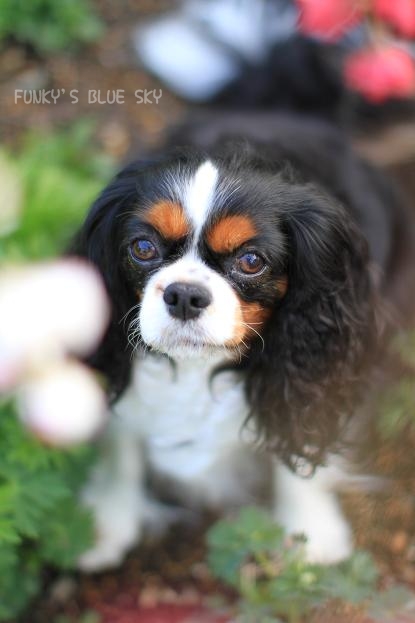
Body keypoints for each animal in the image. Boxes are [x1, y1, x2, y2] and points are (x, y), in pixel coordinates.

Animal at [72, 114, 415, 572]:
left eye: (251, 261)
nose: (184, 294)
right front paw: (107, 517)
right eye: (143, 247)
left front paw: (308, 532)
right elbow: (120, 439)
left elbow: (299, 445)